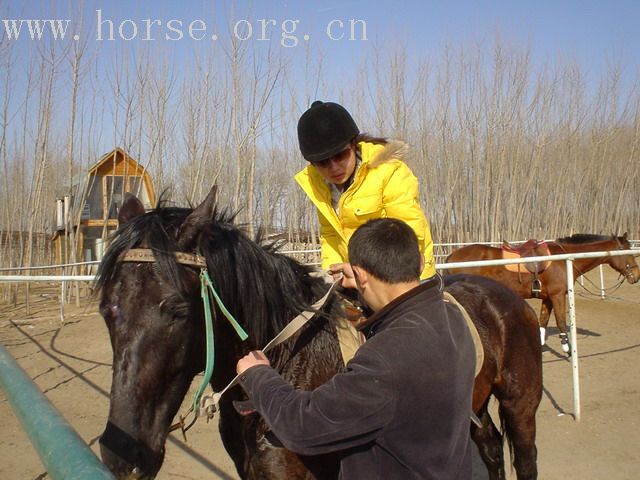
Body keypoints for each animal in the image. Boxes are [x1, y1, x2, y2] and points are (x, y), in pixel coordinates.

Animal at [95, 188, 544, 480]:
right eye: (107, 310)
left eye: (179, 310)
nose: (123, 455)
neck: (291, 360)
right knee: (489, 448)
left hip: (520, 404)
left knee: (524, 458)